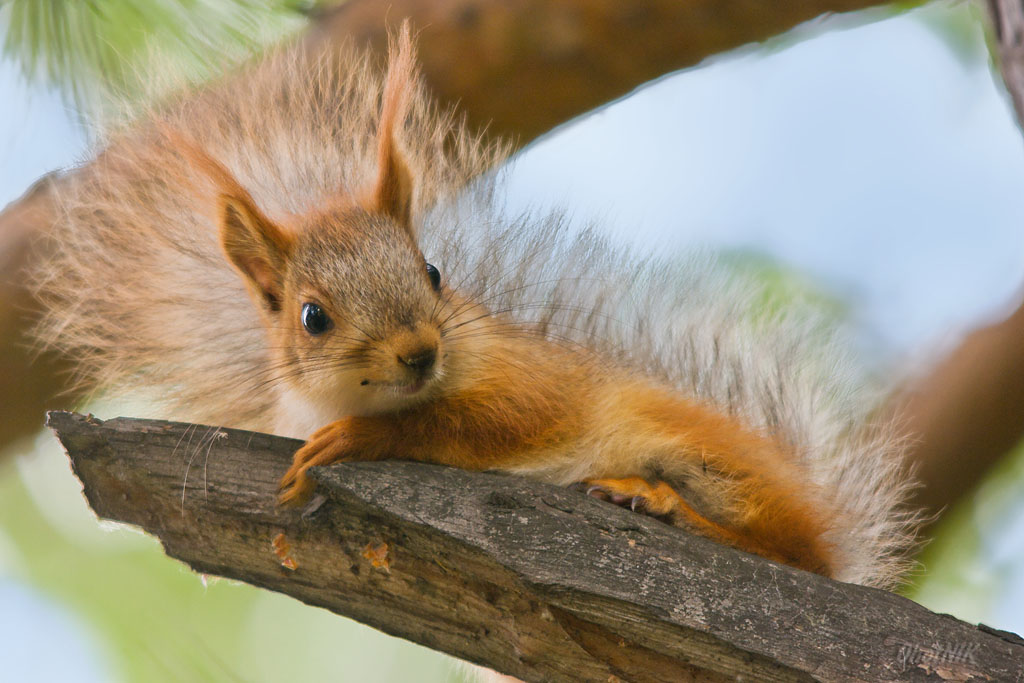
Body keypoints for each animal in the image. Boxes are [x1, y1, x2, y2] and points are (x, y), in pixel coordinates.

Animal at [37, 28, 921, 589]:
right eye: (311, 316)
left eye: (433, 270)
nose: (419, 351)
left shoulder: (535, 385)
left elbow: (488, 421)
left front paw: (362, 438)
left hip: (706, 452)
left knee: (796, 553)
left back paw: (665, 502)